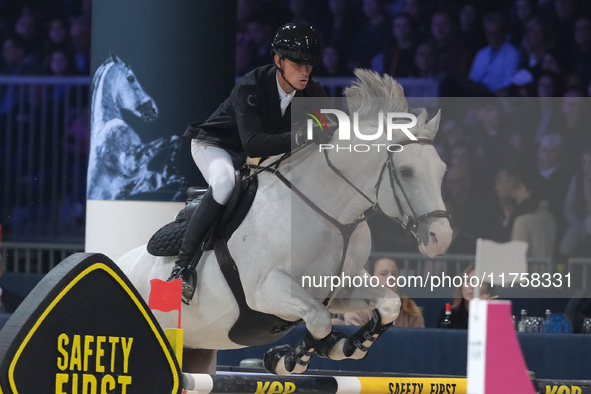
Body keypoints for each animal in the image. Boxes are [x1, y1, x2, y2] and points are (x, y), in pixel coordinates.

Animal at [115, 69, 454, 374]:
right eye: (406, 172)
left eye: (442, 170)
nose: (441, 238)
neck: (326, 214)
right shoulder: (266, 290)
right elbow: (318, 318)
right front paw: (287, 359)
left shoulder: (341, 288)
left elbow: (388, 305)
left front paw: (346, 345)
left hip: (196, 350)